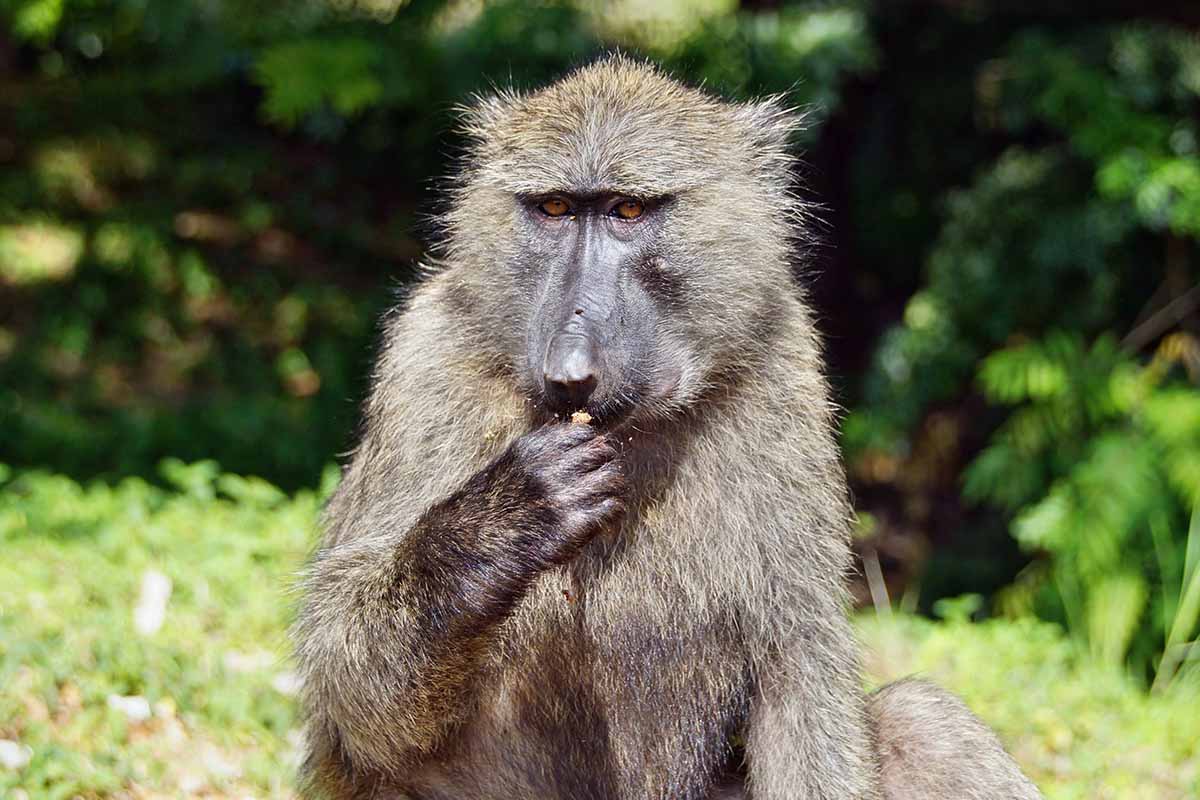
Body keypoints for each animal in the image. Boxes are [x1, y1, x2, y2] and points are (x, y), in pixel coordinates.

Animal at [293, 55, 1042, 800]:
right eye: (555, 209)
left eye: (627, 210)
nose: (569, 370)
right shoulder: (426, 361)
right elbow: (346, 684)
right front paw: (507, 517)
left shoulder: (782, 369)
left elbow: (799, 668)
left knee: (925, 723)